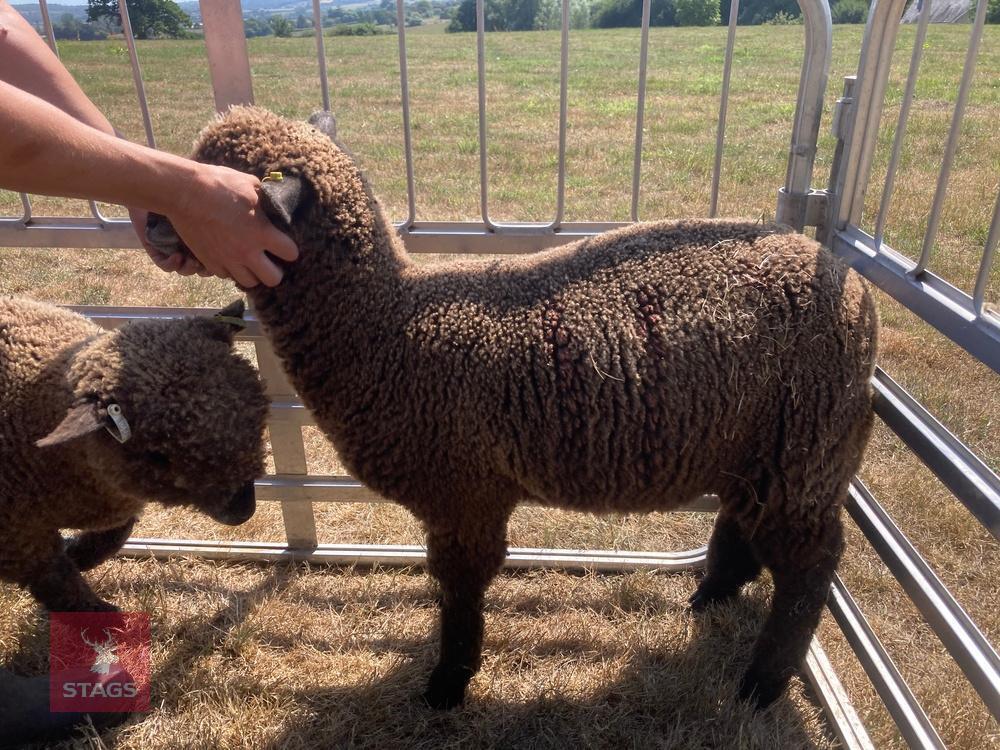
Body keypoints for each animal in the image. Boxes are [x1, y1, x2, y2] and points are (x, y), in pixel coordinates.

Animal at [0, 296, 270, 612]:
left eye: (259, 418)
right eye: (157, 455)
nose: (242, 512)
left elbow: (117, 532)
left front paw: (78, 553)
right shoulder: (19, 536)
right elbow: (60, 583)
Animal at [148, 106, 878, 710]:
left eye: (215, 188)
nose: (149, 222)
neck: (384, 326)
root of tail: (847, 279)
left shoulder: (463, 493)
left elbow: (461, 589)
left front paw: (448, 683)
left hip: (806, 441)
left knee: (811, 565)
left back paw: (762, 684)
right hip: (760, 447)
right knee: (747, 526)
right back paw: (709, 598)